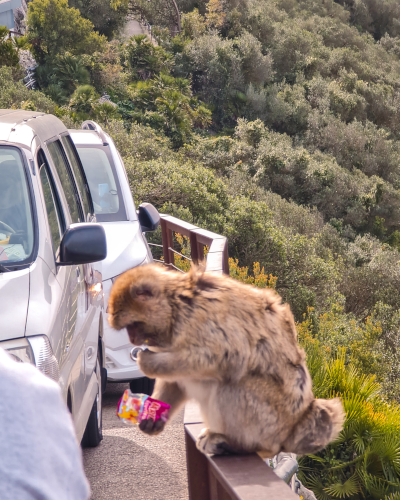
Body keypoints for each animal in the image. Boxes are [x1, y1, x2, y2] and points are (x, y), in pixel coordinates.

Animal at [108, 266, 344, 458]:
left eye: (133, 326)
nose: (132, 340)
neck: (175, 307)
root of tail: (294, 426)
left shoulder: (198, 318)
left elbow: (225, 356)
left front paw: (146, 362)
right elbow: (175, 380)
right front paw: (153, 415)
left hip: (269, 421)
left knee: (232, 383)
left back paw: (238, 444)